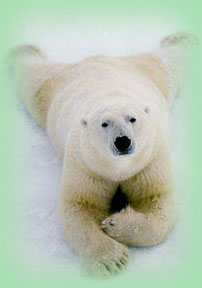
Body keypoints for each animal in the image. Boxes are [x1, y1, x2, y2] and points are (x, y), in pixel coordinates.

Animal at [10, 33, 194, 276]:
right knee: (33, 80)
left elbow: (157, 200)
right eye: (105, 123)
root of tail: (98, 58)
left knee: (169, 62)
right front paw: (111, 259)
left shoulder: (149, 160)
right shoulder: (86, 164)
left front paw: (115, 224)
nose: (123, 141)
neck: (119, 168)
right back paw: (20, 52)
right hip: (53, 89)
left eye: (132, 118)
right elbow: (81, 205)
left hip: (151, 74)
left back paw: (183, 39)